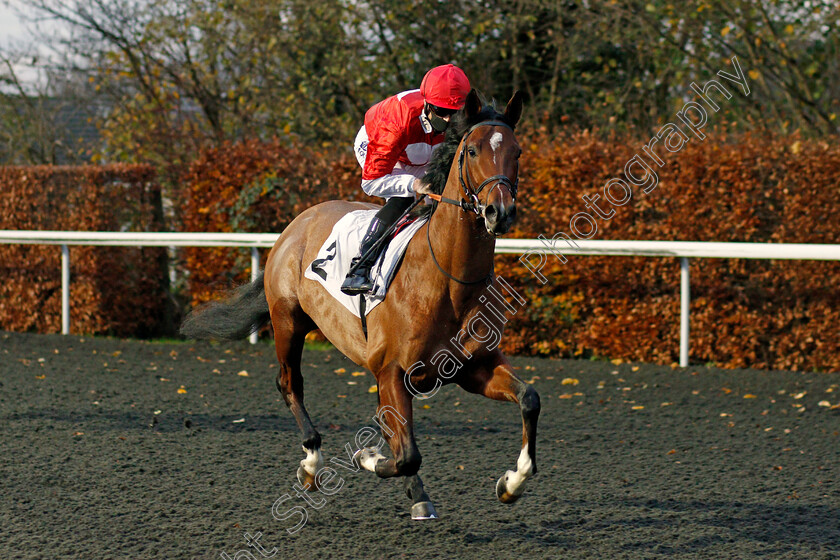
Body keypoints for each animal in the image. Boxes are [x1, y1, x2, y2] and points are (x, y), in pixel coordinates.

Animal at [180, 88, 540, 520]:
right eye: (471, 150)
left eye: (517, 151)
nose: (498, 212)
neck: (448, 282)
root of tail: (298, 222)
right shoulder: (392, 372)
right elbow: (407, 455)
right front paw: (368, 457)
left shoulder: (473, 368)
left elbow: (529, 398)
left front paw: (513, 481)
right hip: (288, 321)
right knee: (290, 383)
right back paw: (311, 461)